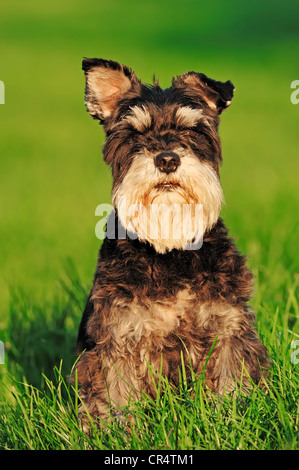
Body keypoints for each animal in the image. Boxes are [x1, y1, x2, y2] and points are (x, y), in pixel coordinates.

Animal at [74, 57, 270, 426]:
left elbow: (230, 385)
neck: (171, 249)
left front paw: (231, 420)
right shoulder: (119, 336)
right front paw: (120, 431)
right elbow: (117, 398)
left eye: (192, 129)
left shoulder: (227, 328)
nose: (167, 158)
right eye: (134, 134)